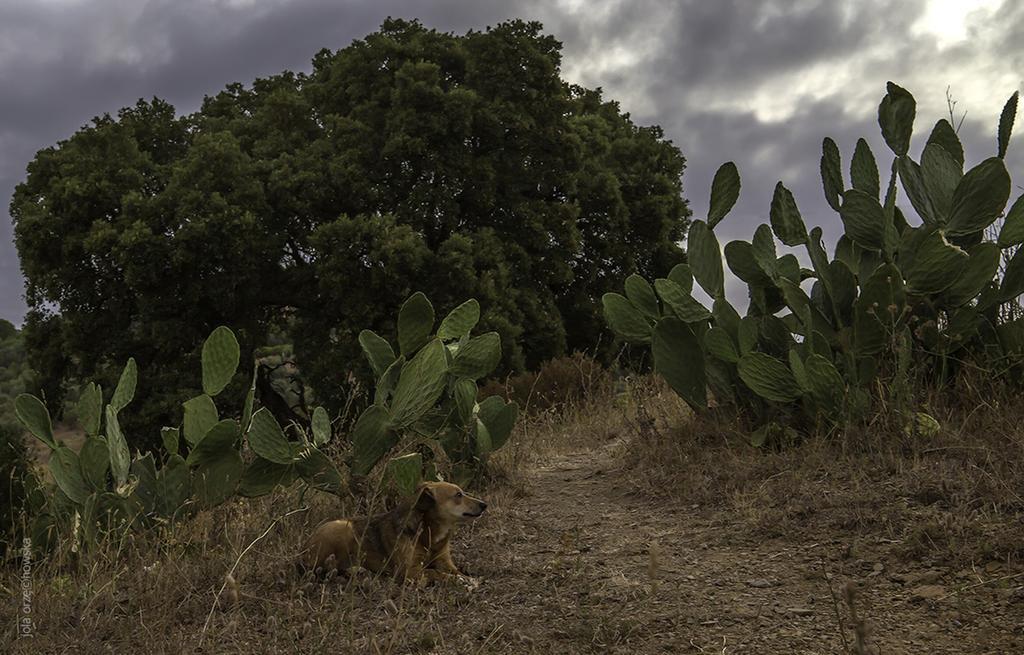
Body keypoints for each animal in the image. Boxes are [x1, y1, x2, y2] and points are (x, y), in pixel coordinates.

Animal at [299, 481, 485, 581]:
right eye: (458, 495)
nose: (485, 504)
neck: (428, 533)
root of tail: (303, 552)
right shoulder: (409, 570)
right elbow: (434, 572)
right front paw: (459, 581)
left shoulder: (444, 561)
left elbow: (455, 571)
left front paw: (468, 579)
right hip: (343, 528)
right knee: (327, 566)